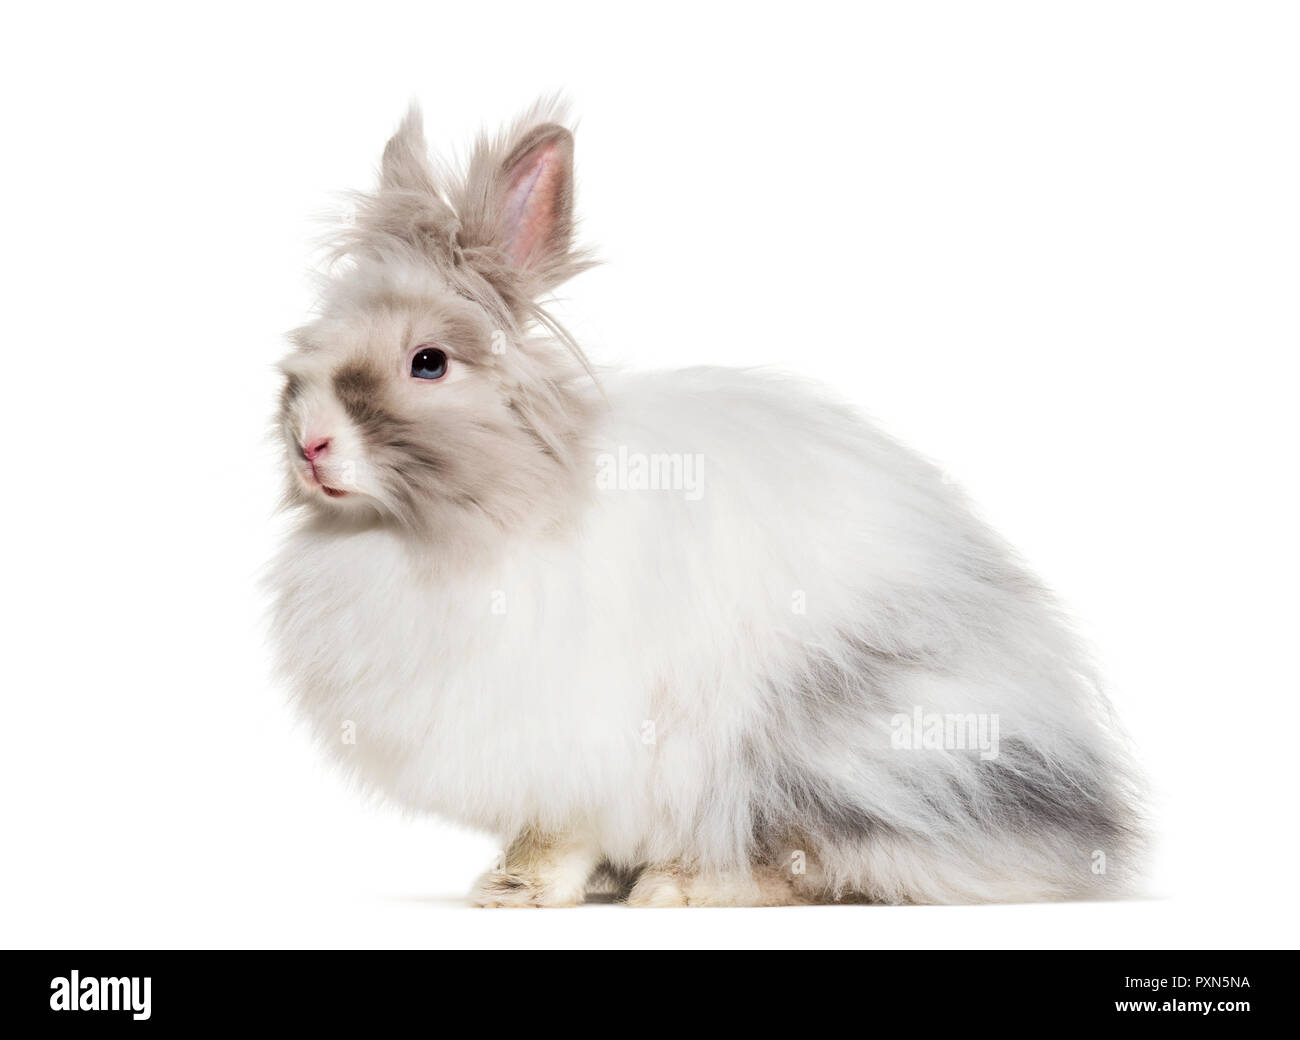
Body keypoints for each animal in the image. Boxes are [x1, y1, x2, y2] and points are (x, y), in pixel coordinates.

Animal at [268, 100, 1143, 907]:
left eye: (428, 362)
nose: (310, 445)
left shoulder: (579, 734)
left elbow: (560, 828)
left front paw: (516, 889)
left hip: (838, 752)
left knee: (810, 865)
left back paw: (677, 885)